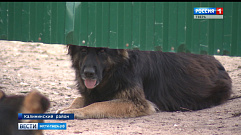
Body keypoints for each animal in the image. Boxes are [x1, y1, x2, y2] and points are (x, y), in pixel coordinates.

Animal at [57, 45, 233, 119]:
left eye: (102, 52)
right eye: (83, 50)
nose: (88, 73)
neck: (119, 67)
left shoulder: (138, 103)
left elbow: (97, 105)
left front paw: (76, 112)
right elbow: (80, 98)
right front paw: (68, 108)